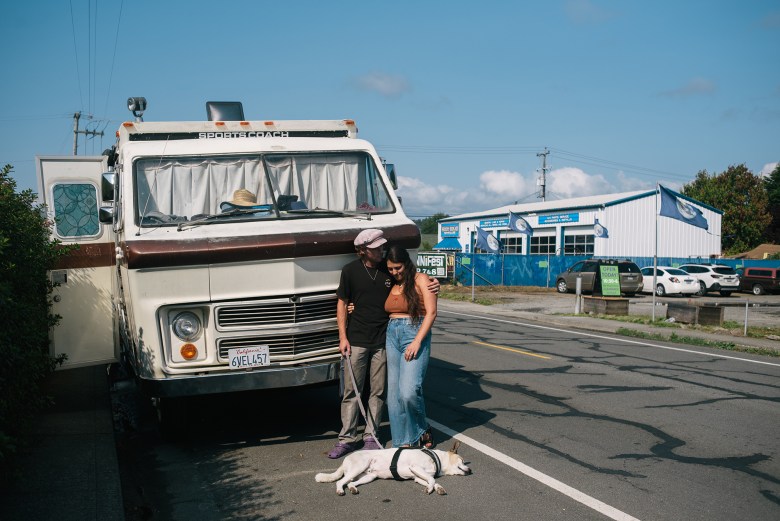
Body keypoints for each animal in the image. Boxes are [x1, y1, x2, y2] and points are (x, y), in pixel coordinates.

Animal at [314, 440, 472, 494]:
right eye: (462, 460)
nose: (470, 470)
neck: (436, 459)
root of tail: (344, 460)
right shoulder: (415, 467)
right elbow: (432, 480)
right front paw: (430, 489)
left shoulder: (417, 477)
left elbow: (432, 481)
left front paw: (436, 488)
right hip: (360, 466)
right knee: (340, 482)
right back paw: (340, 490)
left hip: (369, 476)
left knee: (350, 483)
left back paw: (353, 488)